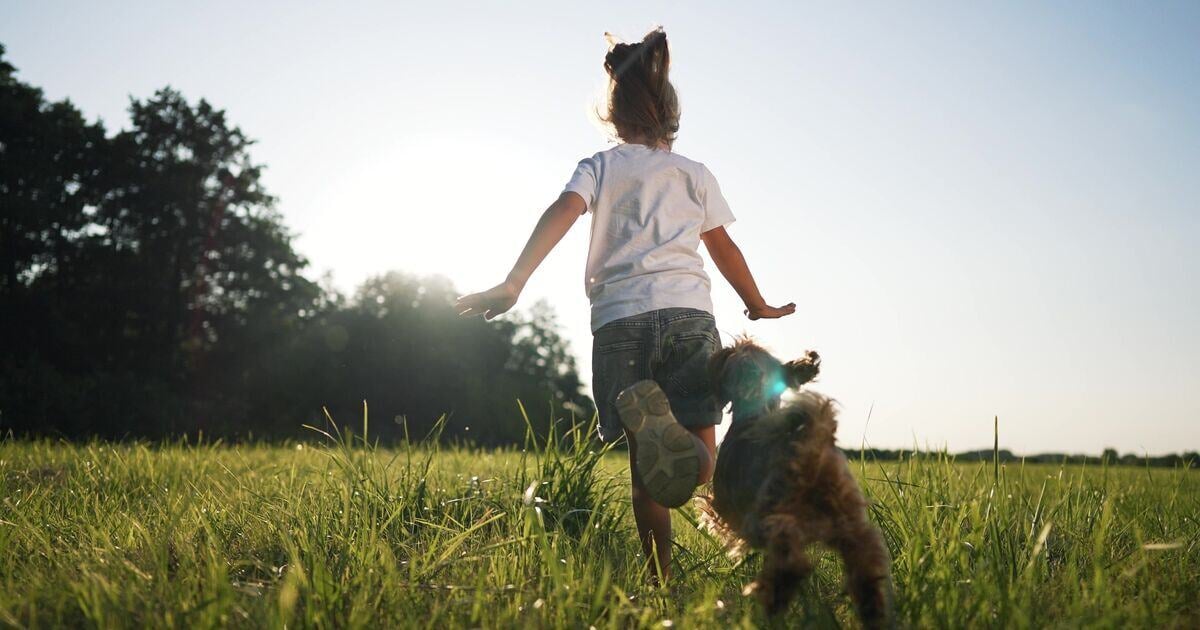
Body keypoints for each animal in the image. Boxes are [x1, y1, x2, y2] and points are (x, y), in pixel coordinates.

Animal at [700, 340, 897, 624]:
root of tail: (812, 441)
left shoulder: (726, 508)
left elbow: (710, 511)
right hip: (850, 520)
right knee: (866, 561)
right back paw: (872, 609)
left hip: (770, 514)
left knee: (791, 557)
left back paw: (774, 598)